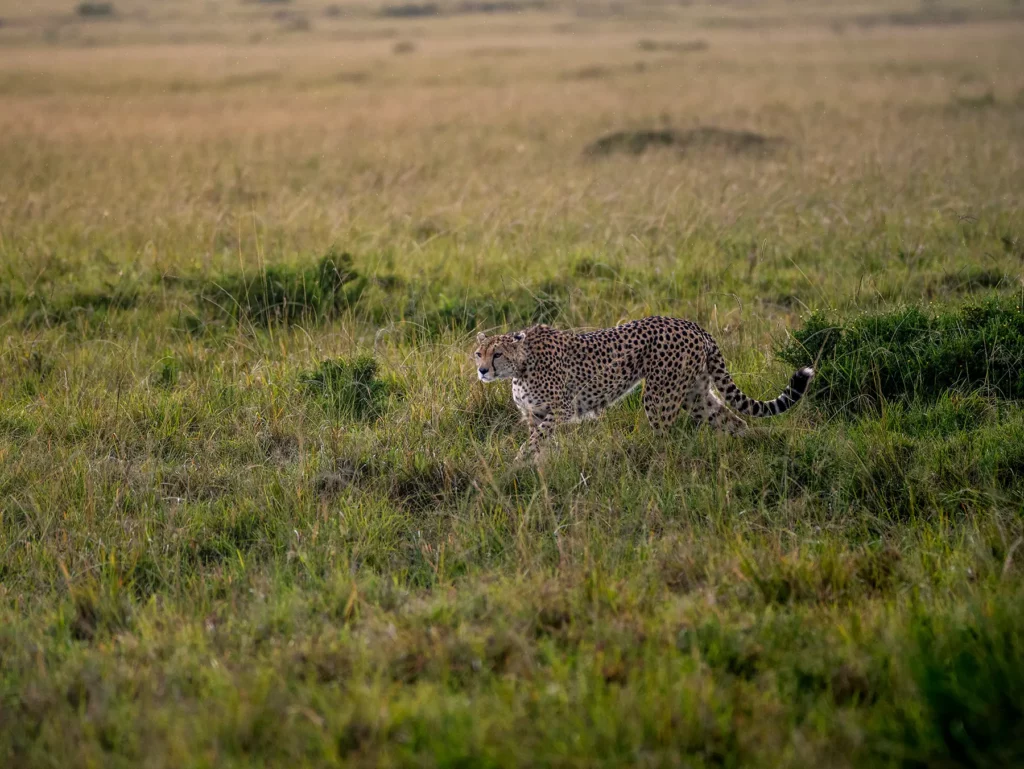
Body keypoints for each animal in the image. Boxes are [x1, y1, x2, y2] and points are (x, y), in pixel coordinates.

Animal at [473, 316, 814, 459]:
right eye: (479, 353)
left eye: (497, 354)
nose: (481, 370)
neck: (520, 365)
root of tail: (692, 324)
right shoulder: (535, 415)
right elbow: (539, 442)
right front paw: (535, 469)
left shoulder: (560, 410)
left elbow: (533, 442)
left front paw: (518, 465)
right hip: (696, 396)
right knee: (734, 420)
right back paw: (745, 450)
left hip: (659, 396)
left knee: (666, 439)